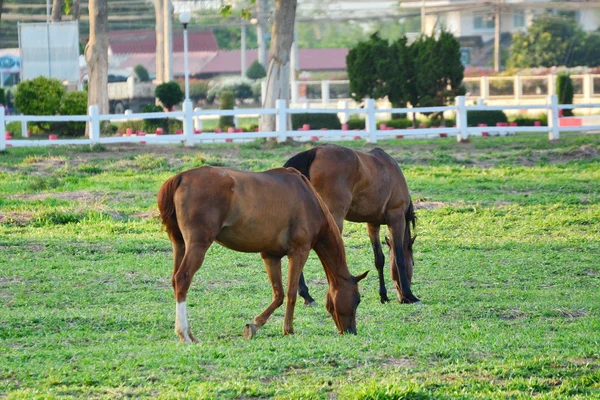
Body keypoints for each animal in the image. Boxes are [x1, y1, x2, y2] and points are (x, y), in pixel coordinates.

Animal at [157, 166, 368, 344]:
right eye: (357, 299)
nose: (351, 331)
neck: (308, 199)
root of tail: (181, 177)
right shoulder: (299, 252)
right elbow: (291, 293)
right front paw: (288, 329)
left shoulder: (270, 256)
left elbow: (279, 294)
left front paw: (254, 326)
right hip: (197, 245)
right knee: (183, 279)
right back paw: (184, 334)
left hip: (180, 245)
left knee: (175, 280)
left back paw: (189, 333)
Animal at [284, 145, 420, 304]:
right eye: (413, 263)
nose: (399, 295)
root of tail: (315, 151)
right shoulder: (397, 218)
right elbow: (399, 258)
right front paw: (408, 295)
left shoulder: (372, 224)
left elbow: (379, 259)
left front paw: (383, 295)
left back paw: (306, 294)